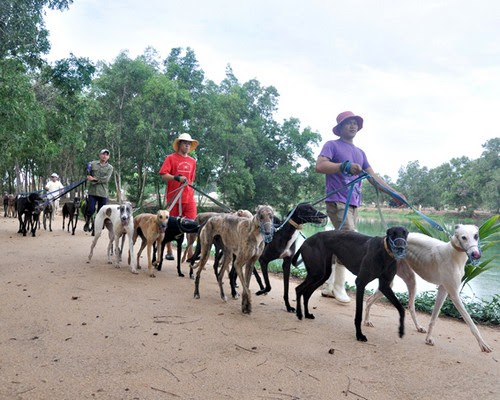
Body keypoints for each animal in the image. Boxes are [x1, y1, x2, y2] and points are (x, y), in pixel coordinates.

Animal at [364, 225, 492, 354]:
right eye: (463, 237)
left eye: (476, 236)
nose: (476, 254)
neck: (453, 255)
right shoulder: (453, 294)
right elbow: (469, 321)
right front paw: (483, 344)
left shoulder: (443, 289)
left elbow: (434, 317)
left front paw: (428, 338)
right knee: (369, 299)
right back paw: (366, 321)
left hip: (410, 280)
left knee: (408, 305)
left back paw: (418, 327)